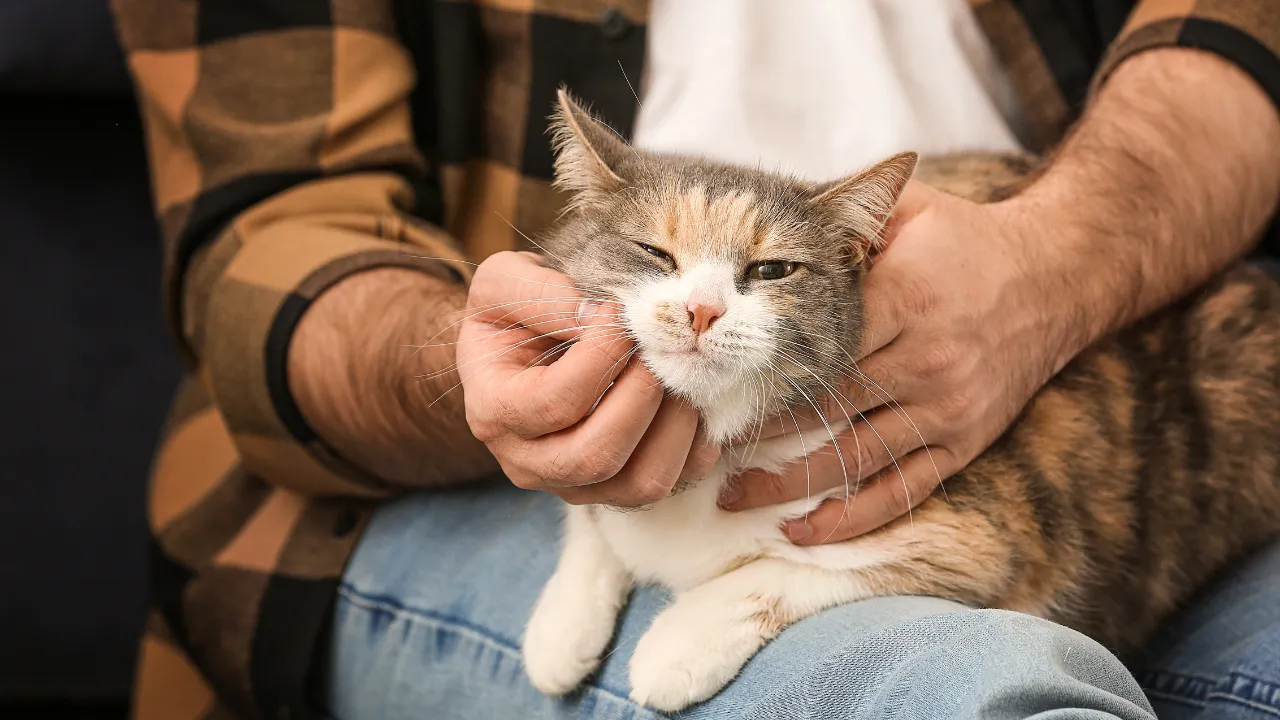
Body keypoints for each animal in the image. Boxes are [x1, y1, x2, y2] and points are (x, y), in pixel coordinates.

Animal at [517, 88, 1280, 707]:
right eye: (654, 253)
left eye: (771, 270)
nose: (701, 311)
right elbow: (591, 518)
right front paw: (561, 627)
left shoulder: (989, 542)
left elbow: (793, 568)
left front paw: (679, 643)